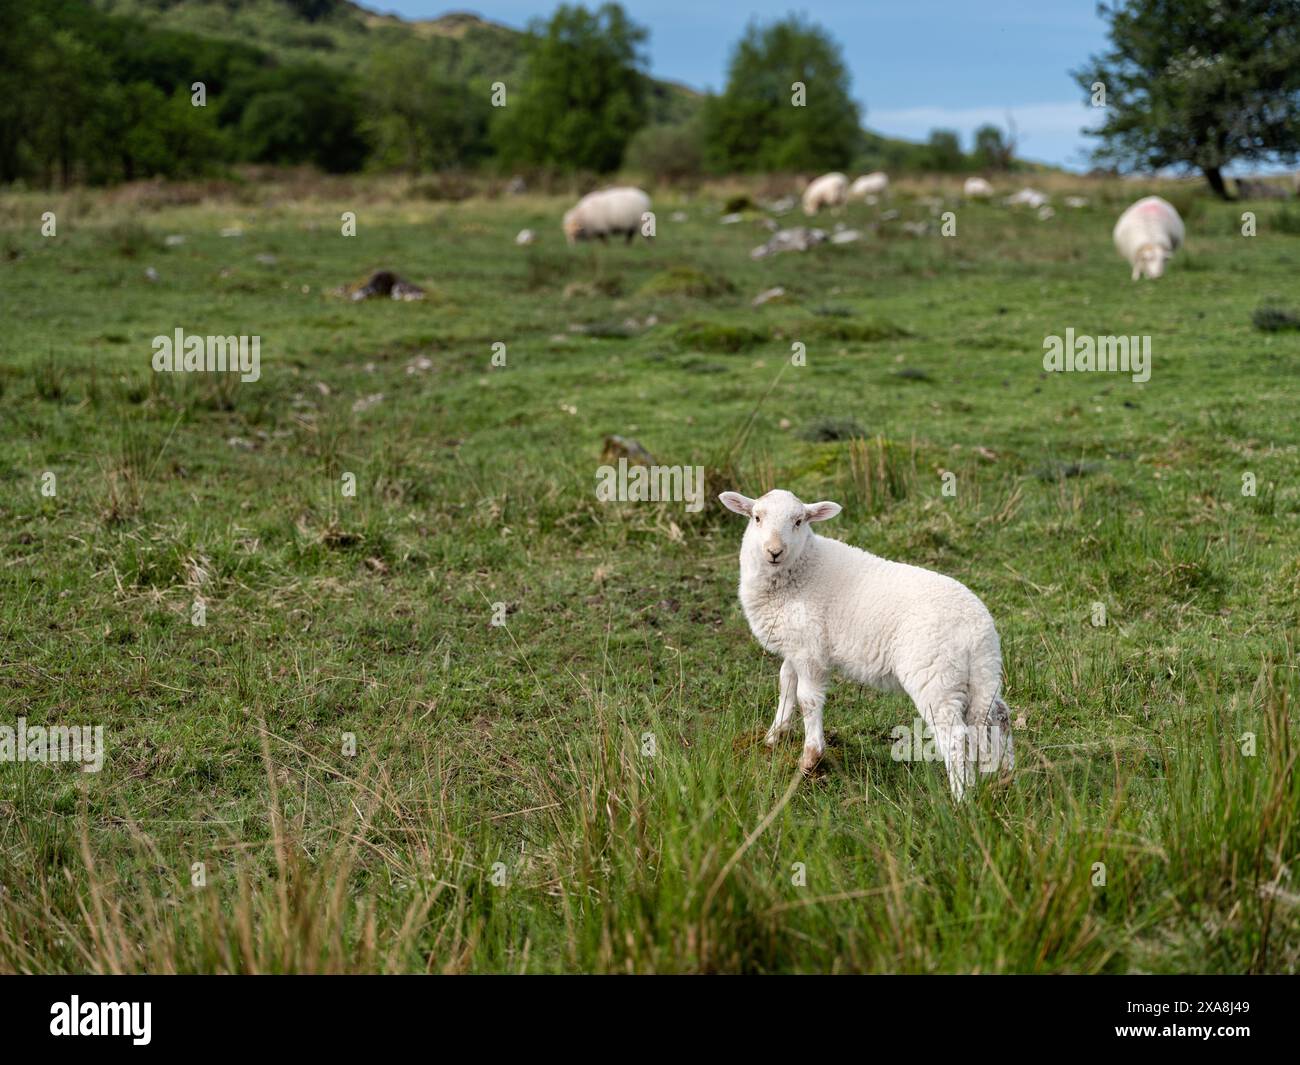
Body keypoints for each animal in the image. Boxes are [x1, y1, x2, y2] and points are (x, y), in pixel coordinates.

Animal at [719, 488, 1013, 798]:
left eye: (799, 521)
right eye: (756, 517)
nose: (774, 552)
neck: (802, 569)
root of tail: (974, 628)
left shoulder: (811, 651)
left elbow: (807, 699)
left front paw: (810, 759)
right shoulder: (795, 643)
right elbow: (785, 682)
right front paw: (775, 736)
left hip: (936, 675)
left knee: (954, 736)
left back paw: (961, 797)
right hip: (983, 672)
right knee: (998, 717)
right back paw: (1004, 778)